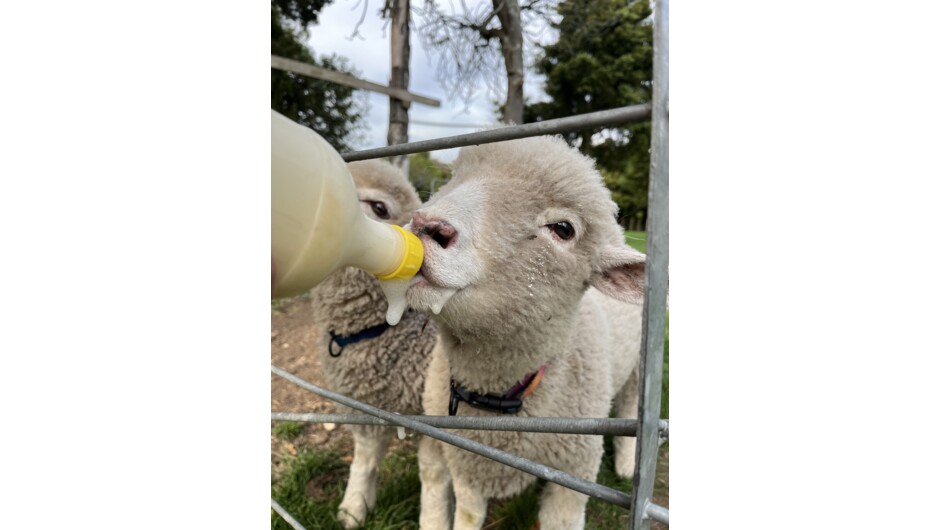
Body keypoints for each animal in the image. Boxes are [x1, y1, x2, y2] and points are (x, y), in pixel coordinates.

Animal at [308, 159, 438, 529]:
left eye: (380, 208)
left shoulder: (437, 416)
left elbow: (433, 479)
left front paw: (435, 520)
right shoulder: (364, 402)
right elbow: (363, 459)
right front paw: (353, 508)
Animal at [401, 135, 646, 530]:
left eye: (564, 229)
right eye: (454, 177)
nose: (426, 225)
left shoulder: (574, 471)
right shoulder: (464, 461)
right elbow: (467, 515)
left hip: (638, 368)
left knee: (629, 404)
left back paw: (626, 465)